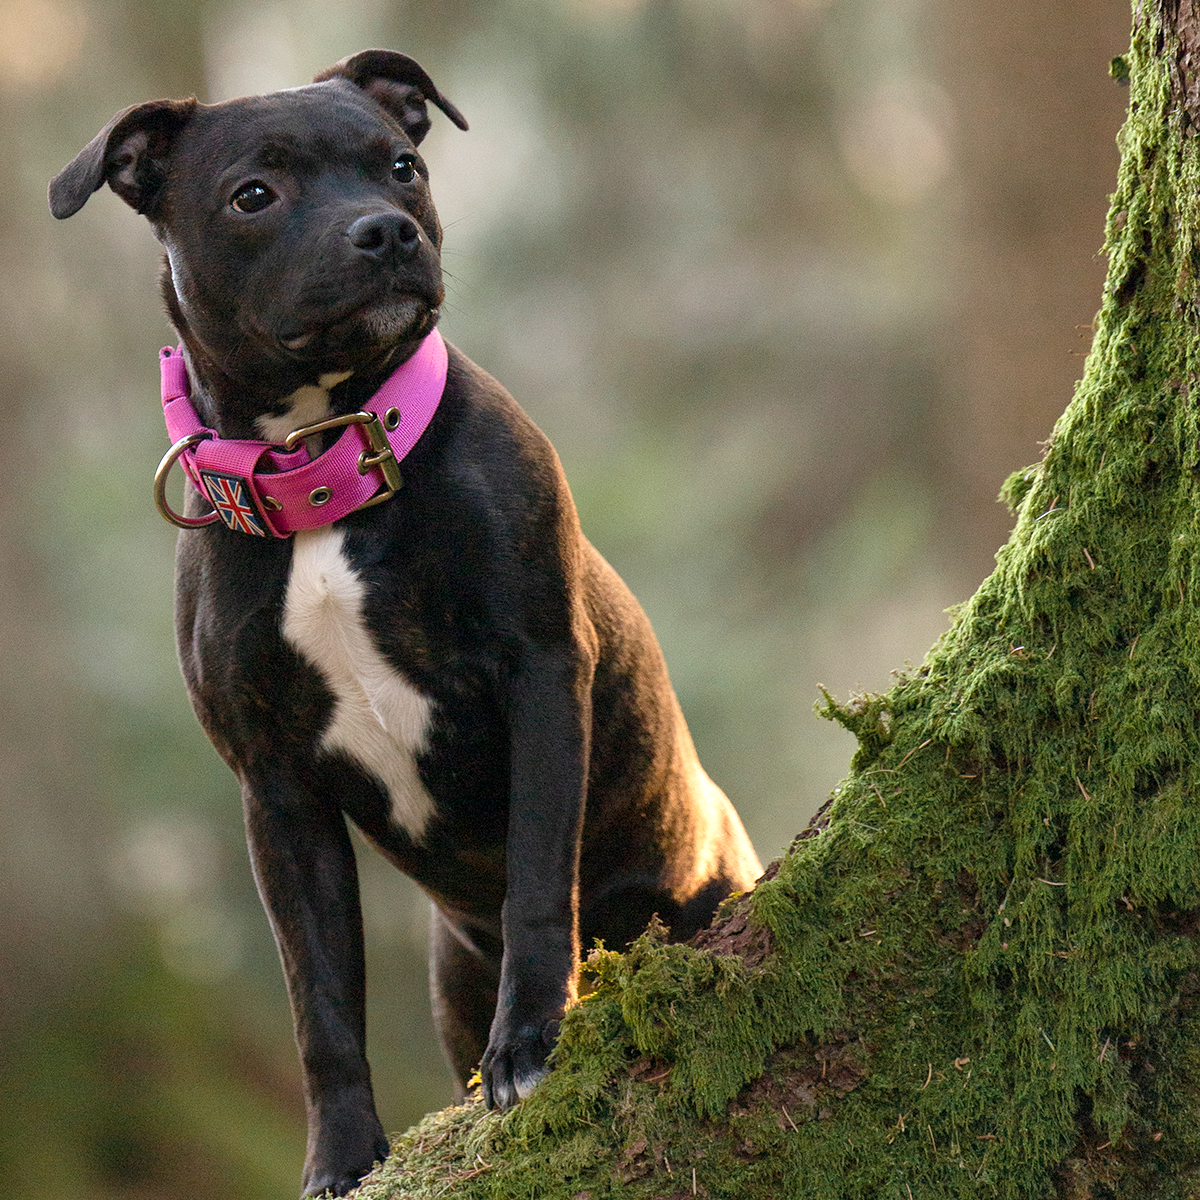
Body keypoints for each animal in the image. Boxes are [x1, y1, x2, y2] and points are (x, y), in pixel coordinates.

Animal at [49, 49, 758, 1200]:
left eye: (402, 165)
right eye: (254, 194)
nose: (386, 231)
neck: (324, 466)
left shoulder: (539, 681)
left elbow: (535, 888)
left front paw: (533, 1047)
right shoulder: (277, 790)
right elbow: (319, 1002)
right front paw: (342, 1159)